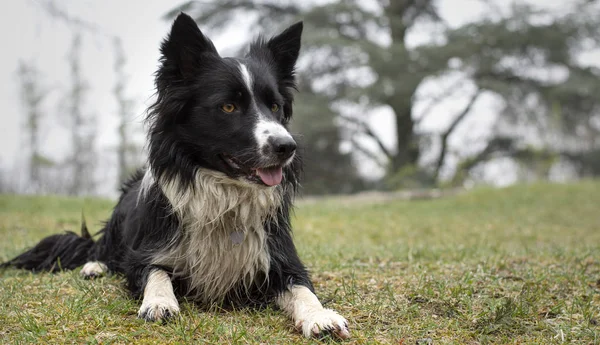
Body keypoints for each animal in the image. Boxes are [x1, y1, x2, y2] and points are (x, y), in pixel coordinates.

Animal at [2, 12, 350, 338]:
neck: (224, 195)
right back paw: (94, 265)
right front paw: (159, 302)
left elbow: (303, 289)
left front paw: (321, 316)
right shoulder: (144, 255)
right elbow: (156, 273)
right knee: (102, 248)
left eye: (275, 106)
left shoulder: (279, 257)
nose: (286, 147)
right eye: (228, 107)